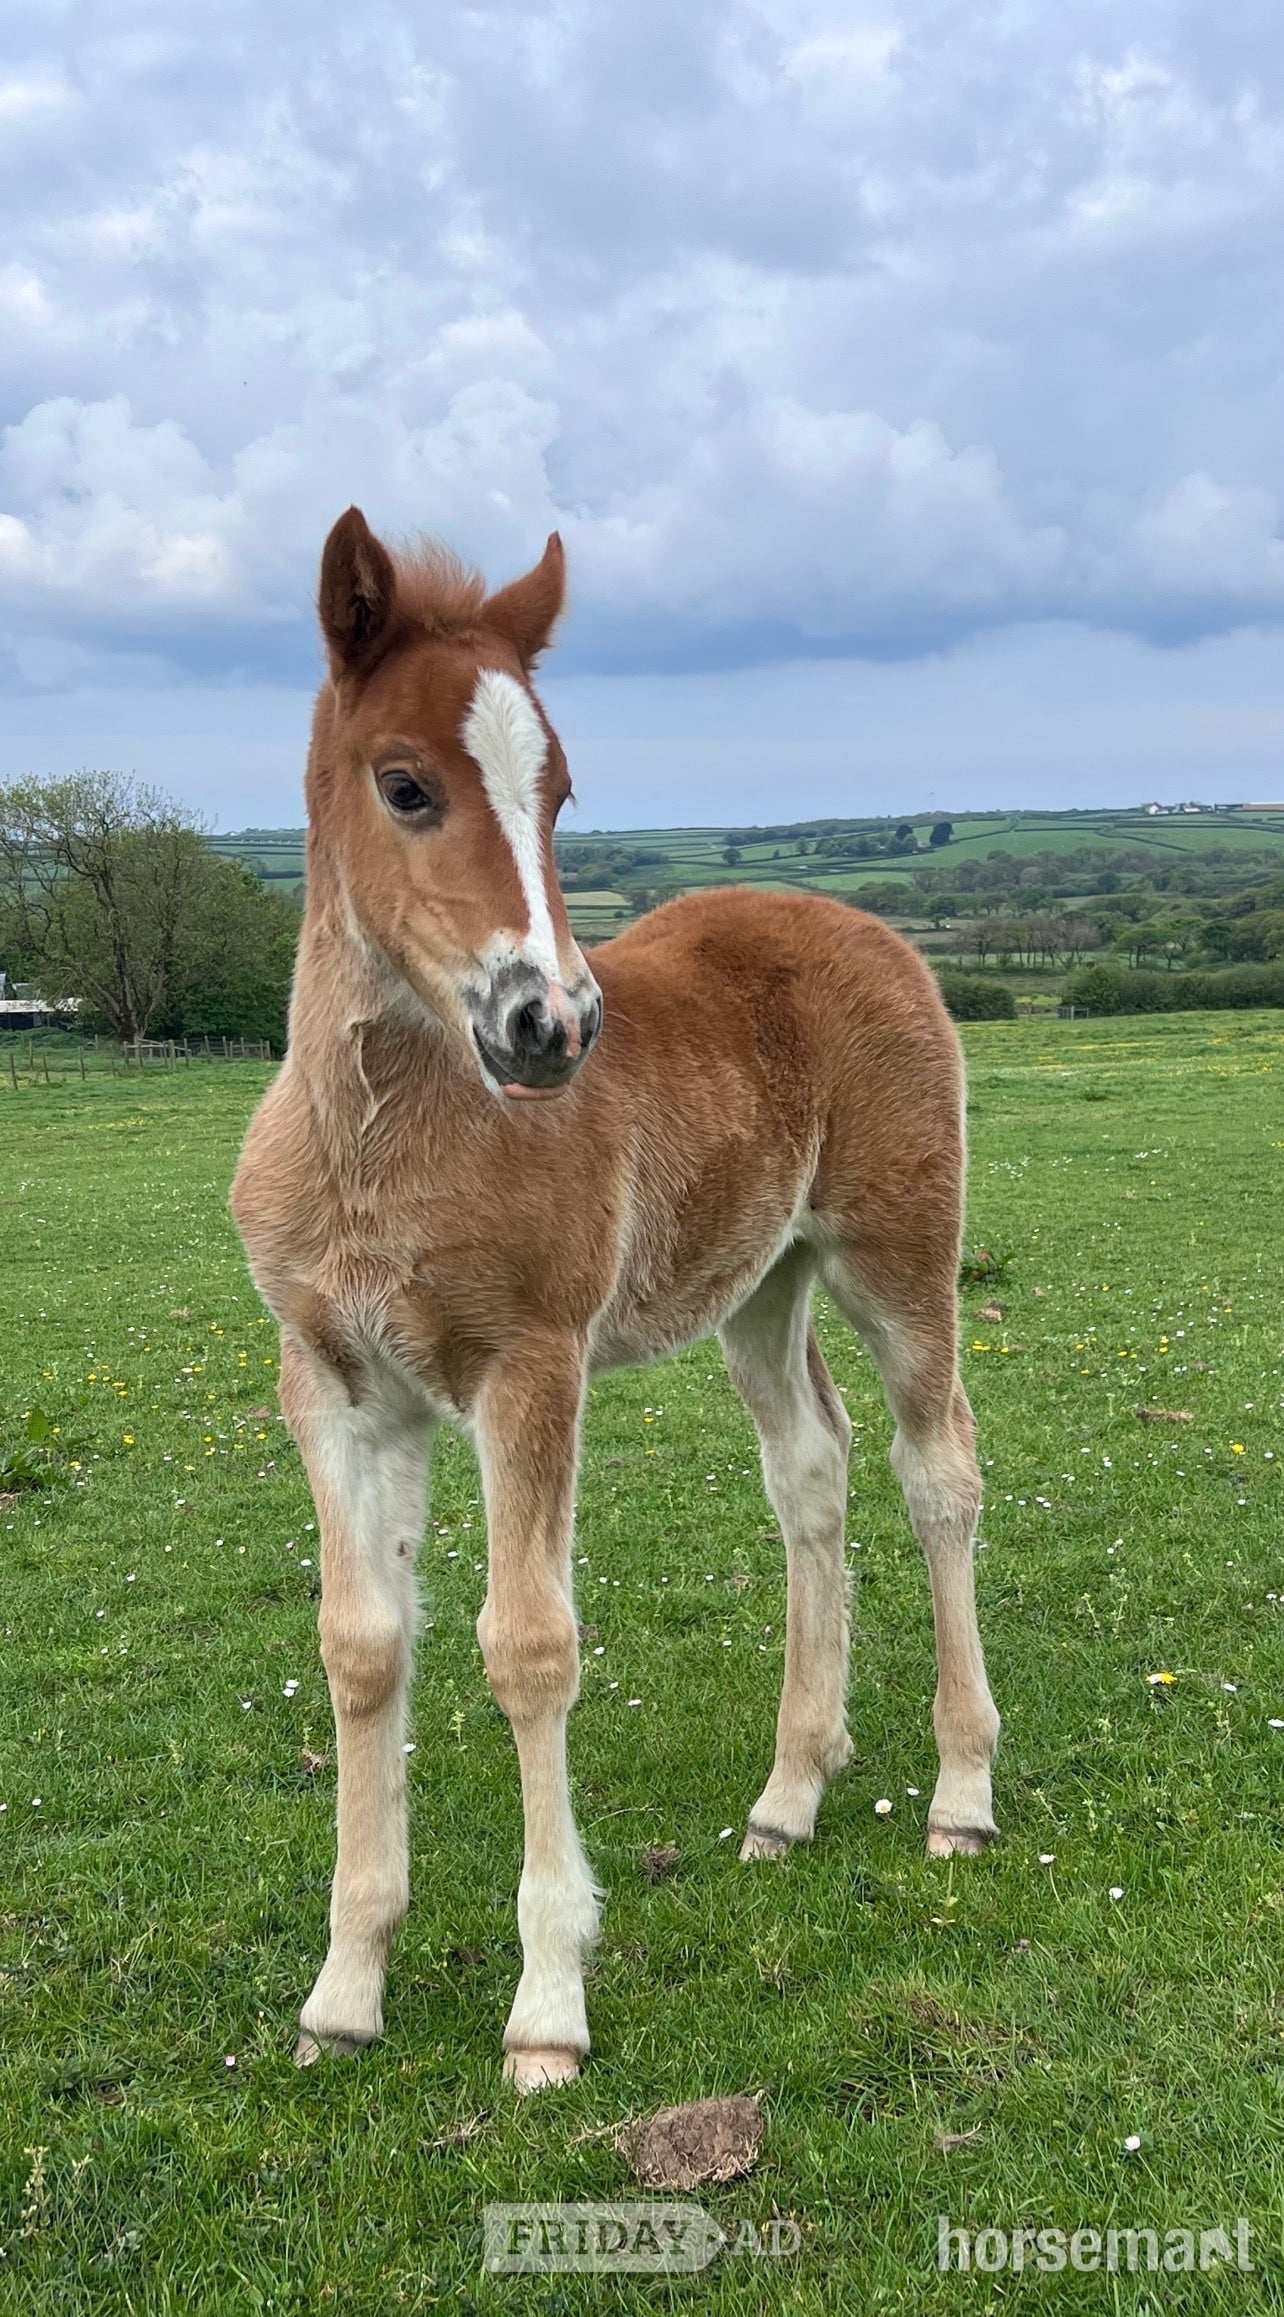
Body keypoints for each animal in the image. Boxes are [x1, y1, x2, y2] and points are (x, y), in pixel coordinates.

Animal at [231, 507, 999, 2091]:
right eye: (405, 784)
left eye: (563, 790)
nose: (555, 1024)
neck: (379, 1146)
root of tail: (873, 929)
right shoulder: (336, 1385)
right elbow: (360, 1648)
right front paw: (344, 1991)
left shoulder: (529, 1364)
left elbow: (529, 1648)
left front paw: (547, 2008)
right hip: (759, 1283)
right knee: (812, 1471)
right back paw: (790, 1794)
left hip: (898, 1253)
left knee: (936, 1469)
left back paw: (961, 1791)